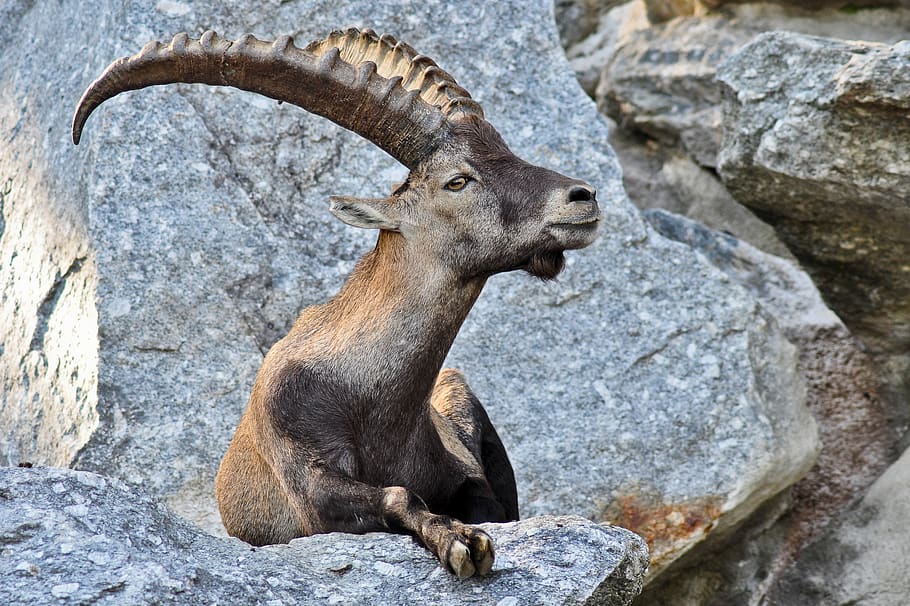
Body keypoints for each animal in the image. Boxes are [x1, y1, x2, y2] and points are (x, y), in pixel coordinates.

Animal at [73, 28, 601, 578]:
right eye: (458, 180)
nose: (583, 196)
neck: (373, 396)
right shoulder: (307, 470)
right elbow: (394, 496)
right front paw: (459, 541)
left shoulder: (464, 472)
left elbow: (487, 503)